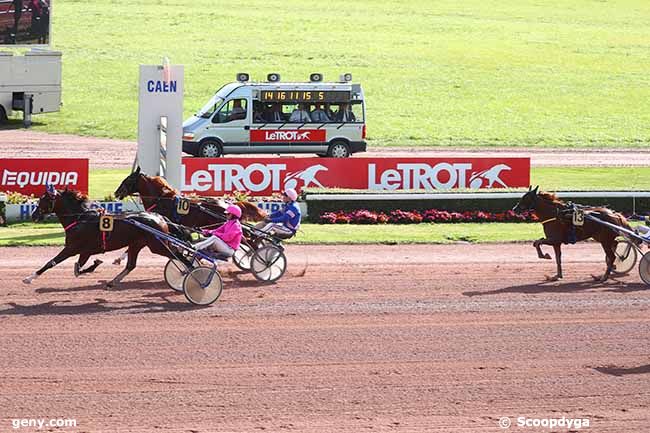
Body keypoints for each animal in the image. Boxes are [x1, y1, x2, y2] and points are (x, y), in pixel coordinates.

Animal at [25, 186, 187, 286]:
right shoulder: (85, 251)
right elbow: (78, 269)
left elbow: (51, 263)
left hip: (158, 245)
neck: (80, 218)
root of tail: (159, 217)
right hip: (137, 244)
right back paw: (112, 281)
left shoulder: (71, 248)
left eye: (44, 200)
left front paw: (29, 278)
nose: (33, 215)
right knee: (131, 265)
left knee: (180, 257)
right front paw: (95, 264)